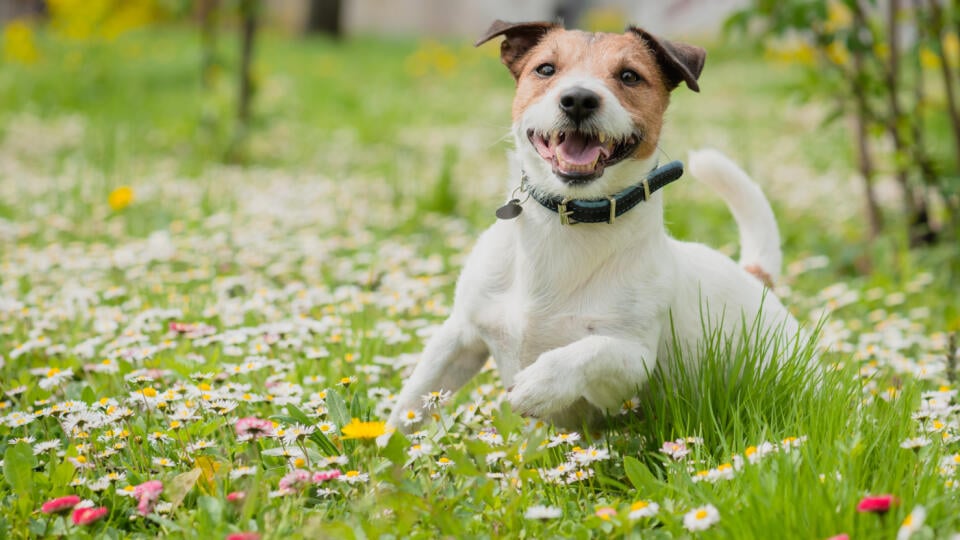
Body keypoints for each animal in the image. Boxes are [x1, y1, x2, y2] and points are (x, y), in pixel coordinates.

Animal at [386, 20, 800, 430]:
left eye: (629, 76)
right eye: (546, 69)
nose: (579, 99)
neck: (568, 220)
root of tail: (756, 278)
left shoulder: (632, 366)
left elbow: (591, 350)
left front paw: (540, 383)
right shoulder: (459, 337)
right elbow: (408, 406)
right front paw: (385, 446)